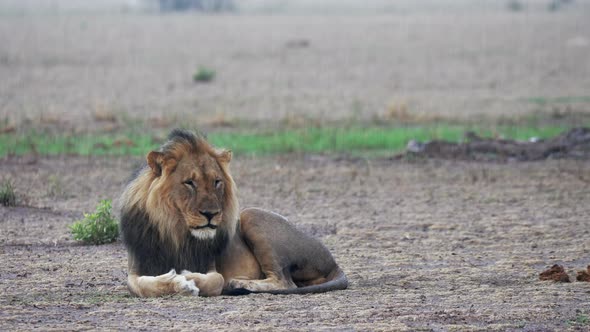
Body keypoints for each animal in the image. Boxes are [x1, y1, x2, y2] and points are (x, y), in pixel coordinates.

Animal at [121, 128, 352, 296]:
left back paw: (240, 284)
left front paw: (186, 280)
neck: (174, 229)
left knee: (285, 282)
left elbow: (215, 280)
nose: (211, 214)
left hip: (251, 215)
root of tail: (333, 262)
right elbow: (140, 286)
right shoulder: (136, 267)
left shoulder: (210, 266)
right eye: (189, 183)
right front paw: (174, 281)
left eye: (216, 182)